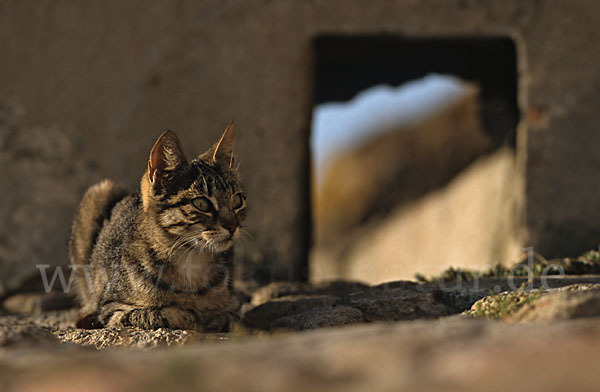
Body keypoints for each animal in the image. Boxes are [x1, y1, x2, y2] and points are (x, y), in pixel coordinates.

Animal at [70, 123, 246, 330]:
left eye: (237, 201)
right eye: (201, 204)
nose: (233, 226)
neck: (191, 262)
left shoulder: (233, 305)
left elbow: (229, 317)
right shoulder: (109, 308)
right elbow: (153, 313)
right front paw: (186, 315)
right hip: (99, 192)